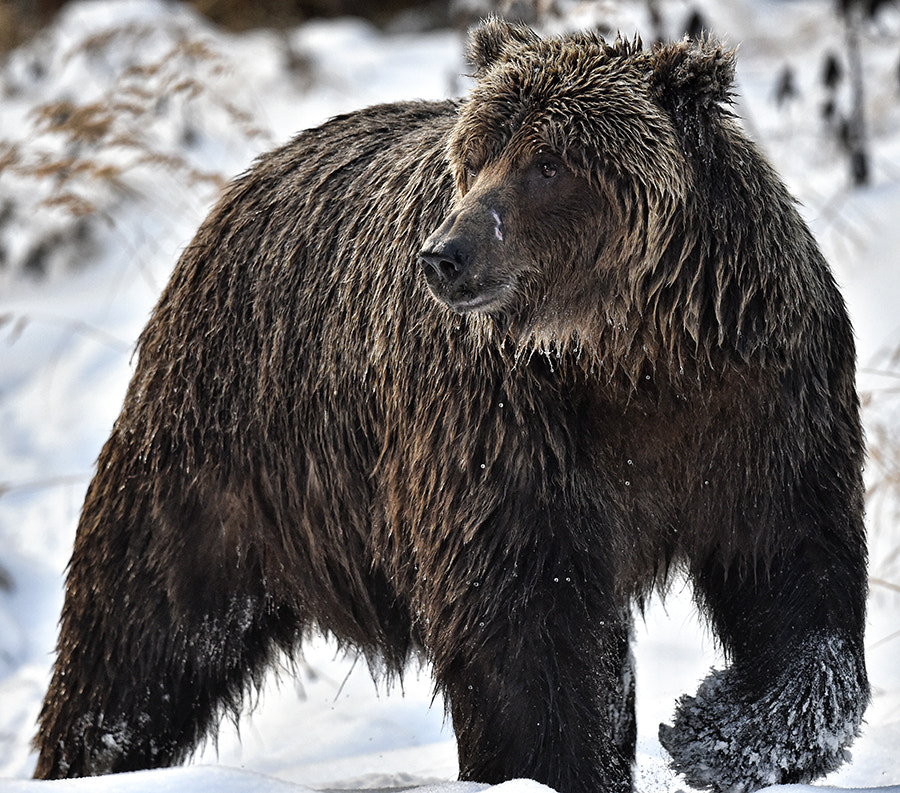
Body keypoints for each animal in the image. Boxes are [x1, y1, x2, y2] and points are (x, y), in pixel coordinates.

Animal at [33, 17, 864, 792]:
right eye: (477, 155)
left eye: (550, 160)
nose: (445, 255)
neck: (630, 354)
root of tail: (244, 184)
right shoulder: (505, 425)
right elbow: (530, 626)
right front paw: (562, 760)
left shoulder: (761, 396)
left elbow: (796, 571)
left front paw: (722, 726)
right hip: (225, 448)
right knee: (144, 632)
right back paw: (86, 753)